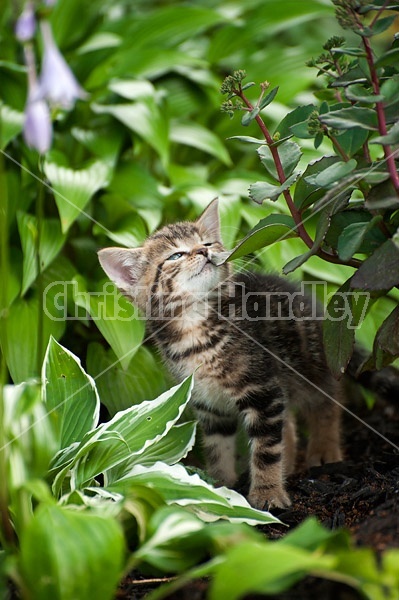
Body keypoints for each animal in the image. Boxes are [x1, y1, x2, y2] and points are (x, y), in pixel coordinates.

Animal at [97, 199, 344, 508]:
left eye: (207, 242)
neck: (195, 328)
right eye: (175, 255)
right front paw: (220, 485)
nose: (204, 251)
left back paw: (325, 450)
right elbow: (217, 447)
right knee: (289, 420)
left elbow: (266, 449)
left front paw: (268, 493)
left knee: (328, 400)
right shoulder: (209, 405)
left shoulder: (262, 390)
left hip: (311, 363)